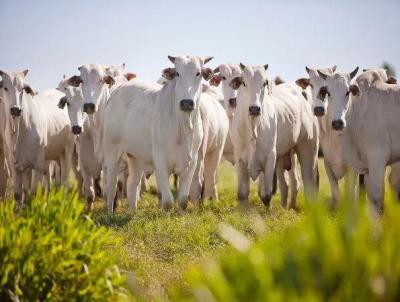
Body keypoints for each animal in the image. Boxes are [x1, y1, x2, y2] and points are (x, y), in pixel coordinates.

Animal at [0, 68, 74, 201]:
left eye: (23, 88)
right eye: (5, 87)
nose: (15, 109)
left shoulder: (38, 166)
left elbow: (33, 194)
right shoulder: (16, 167)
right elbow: (20, 194)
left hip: (67, 150)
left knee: (64, 182)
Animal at [102, 56, 212, 212]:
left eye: (198, 73)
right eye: (177, 73)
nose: (186, 103)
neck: (184, 127)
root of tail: (119, 89)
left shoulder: (192, 163)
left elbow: (183, 200)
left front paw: (181, 215)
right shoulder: (160, 162)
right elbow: (167, 201)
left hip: (135, 156)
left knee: (132, 184)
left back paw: (133, 212)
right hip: (112, 153)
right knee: (111, 188)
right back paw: (110, 213)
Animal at [318, 67, 400, 212]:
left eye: (347, 92)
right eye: (328, 93)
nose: (337, 123)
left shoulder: (377, 159)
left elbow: (377, 199)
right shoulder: (364, 169)